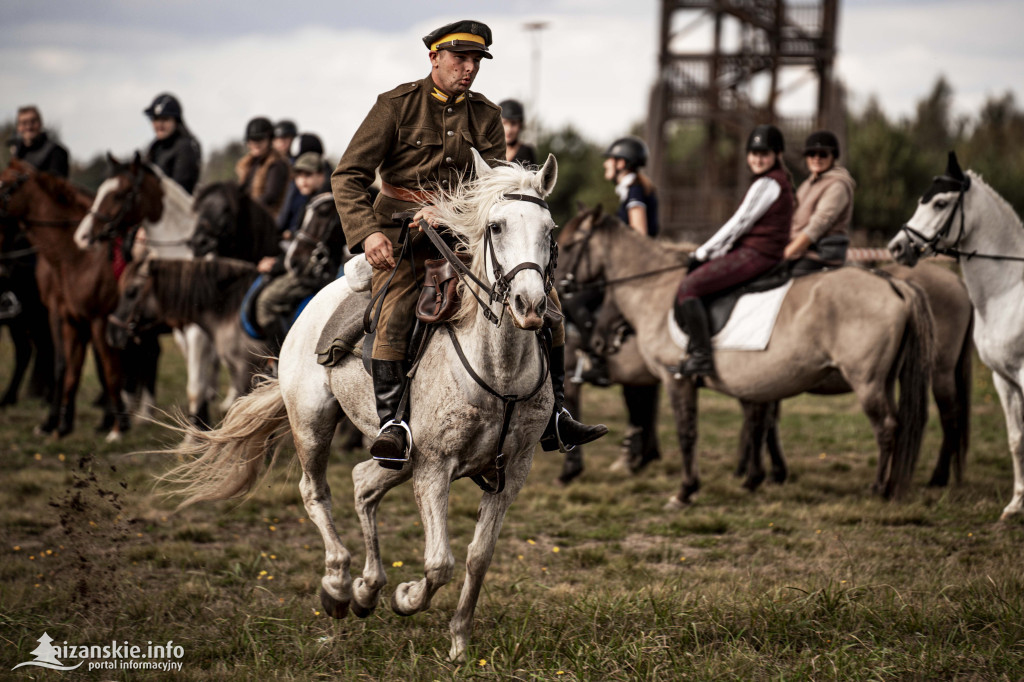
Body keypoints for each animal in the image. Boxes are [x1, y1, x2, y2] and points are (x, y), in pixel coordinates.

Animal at [0, 159, 126, 436]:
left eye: (5, 185)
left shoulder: (96, 317)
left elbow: (102, 365)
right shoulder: (62, 314)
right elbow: (64, 365)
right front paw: (57, 422)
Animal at [74, 156, 217, 425]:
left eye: (119, 194)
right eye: (101, 190)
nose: (82, 236)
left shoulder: (197, 331)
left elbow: (195, 386)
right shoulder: (183, 330)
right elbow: (199, 383)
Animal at [157, 150, 561, 659]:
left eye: (550, 230)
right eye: (496, 226)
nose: (530, 304)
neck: (498, 369)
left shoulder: (511, 472)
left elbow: (478, 557)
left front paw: (459, 642)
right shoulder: (434, 467)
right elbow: (439, 563)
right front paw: (407, 598)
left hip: (396, 456)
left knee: (363, 485)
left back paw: (367, 589)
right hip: (312, 423)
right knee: (317, 491)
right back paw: (337, 585)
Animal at [557, 204, 933, 501]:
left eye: (570, 243)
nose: (601, 342)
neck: (655, 290)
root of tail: (893, 282)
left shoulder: (676, 378)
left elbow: (687, 432)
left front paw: (686, 491)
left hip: (866, 381)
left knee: (886, 427)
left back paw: (879, 488)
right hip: (883, 380)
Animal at [888, 151, 1024, 518]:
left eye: (940, 202)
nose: (897, 247)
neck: (1009, 291)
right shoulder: (1003, 379)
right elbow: (1016, 439)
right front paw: (1016, 505)